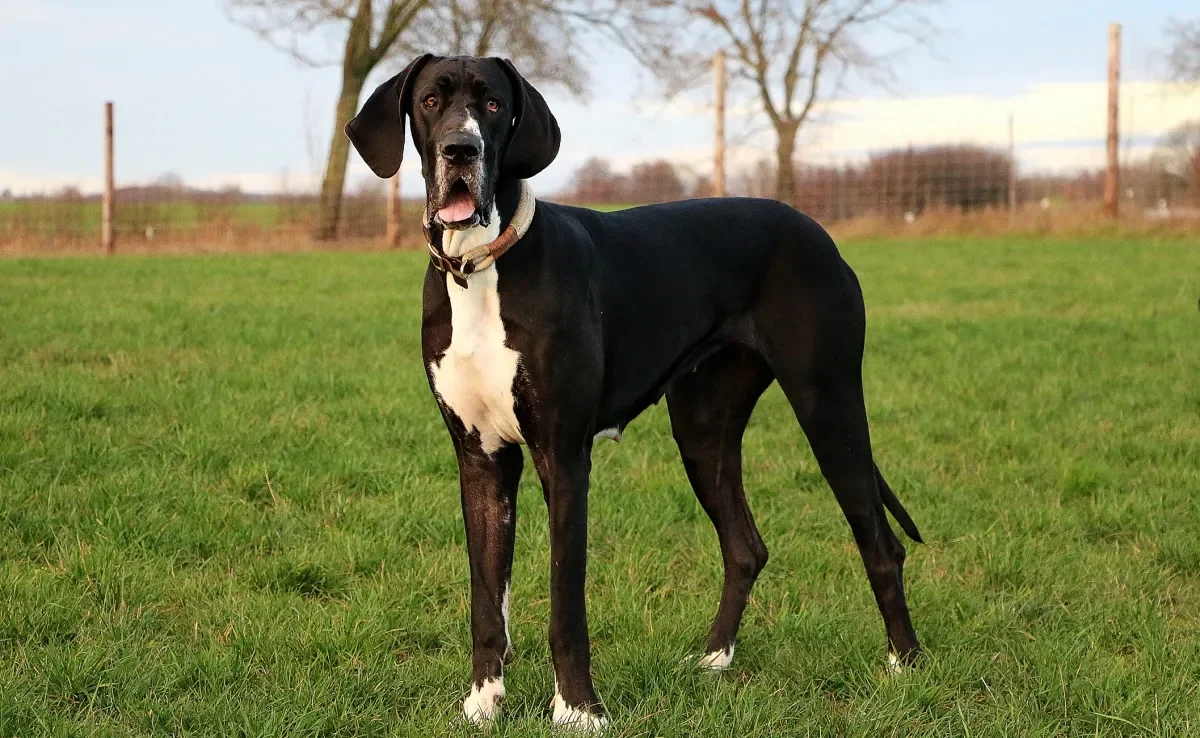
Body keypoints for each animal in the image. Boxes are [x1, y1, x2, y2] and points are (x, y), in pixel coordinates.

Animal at [343, 54, 921, 729]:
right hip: (702, 429)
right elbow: (487, 599)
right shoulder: (480, 459)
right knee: (745, 546)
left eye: (492, 105)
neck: (483, 268)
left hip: (827, 405)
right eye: (431, 102)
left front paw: (578, 709)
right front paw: (483, 703)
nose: (462, 149)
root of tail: (816, 230)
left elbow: (566, 601)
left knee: (880, 541)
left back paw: (906, 664)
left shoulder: (564, 458)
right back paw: (714, 658)